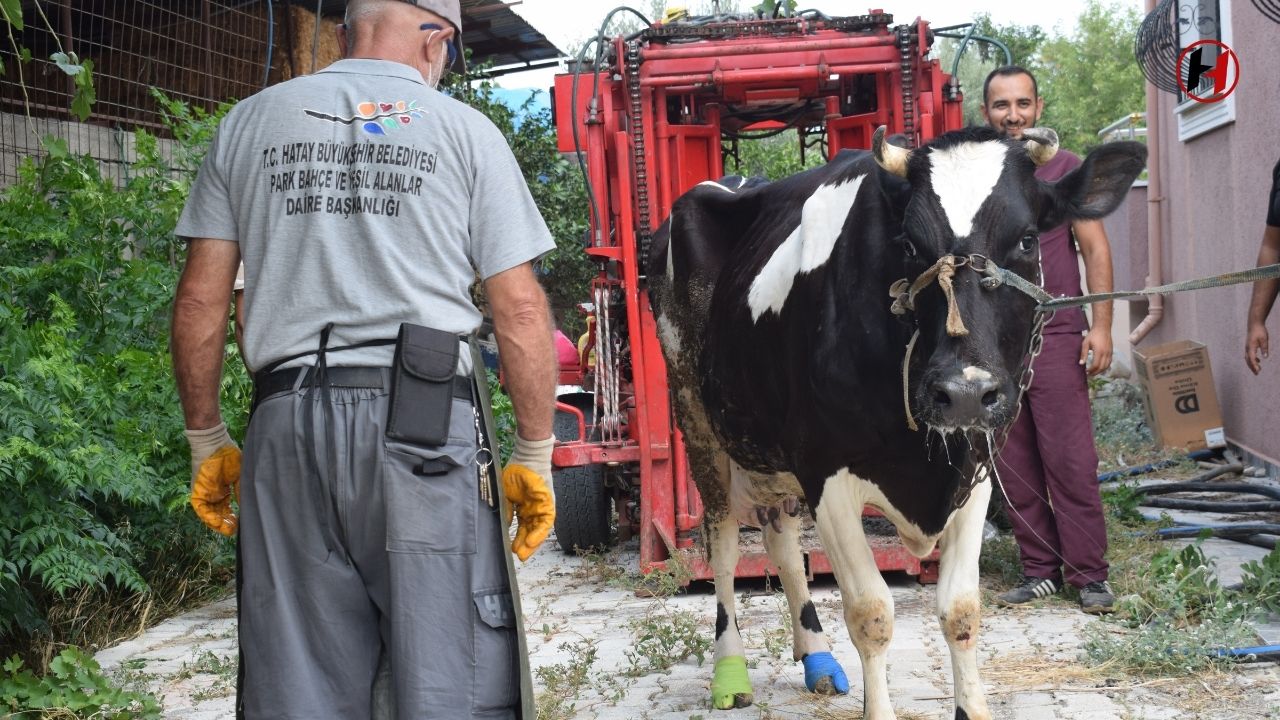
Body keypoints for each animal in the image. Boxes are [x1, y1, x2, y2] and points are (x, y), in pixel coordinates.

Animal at [645, 124, 1146, 717]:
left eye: (1028, 239)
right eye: (908, 245)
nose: (964, 392)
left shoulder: (975, 468)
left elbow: (962, 609)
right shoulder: (828, 473)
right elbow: (871, 613)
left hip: (770, 445)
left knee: (782, 542)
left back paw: (815, 655)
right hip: (696, 417)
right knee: (722, 545)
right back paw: (730, 671)